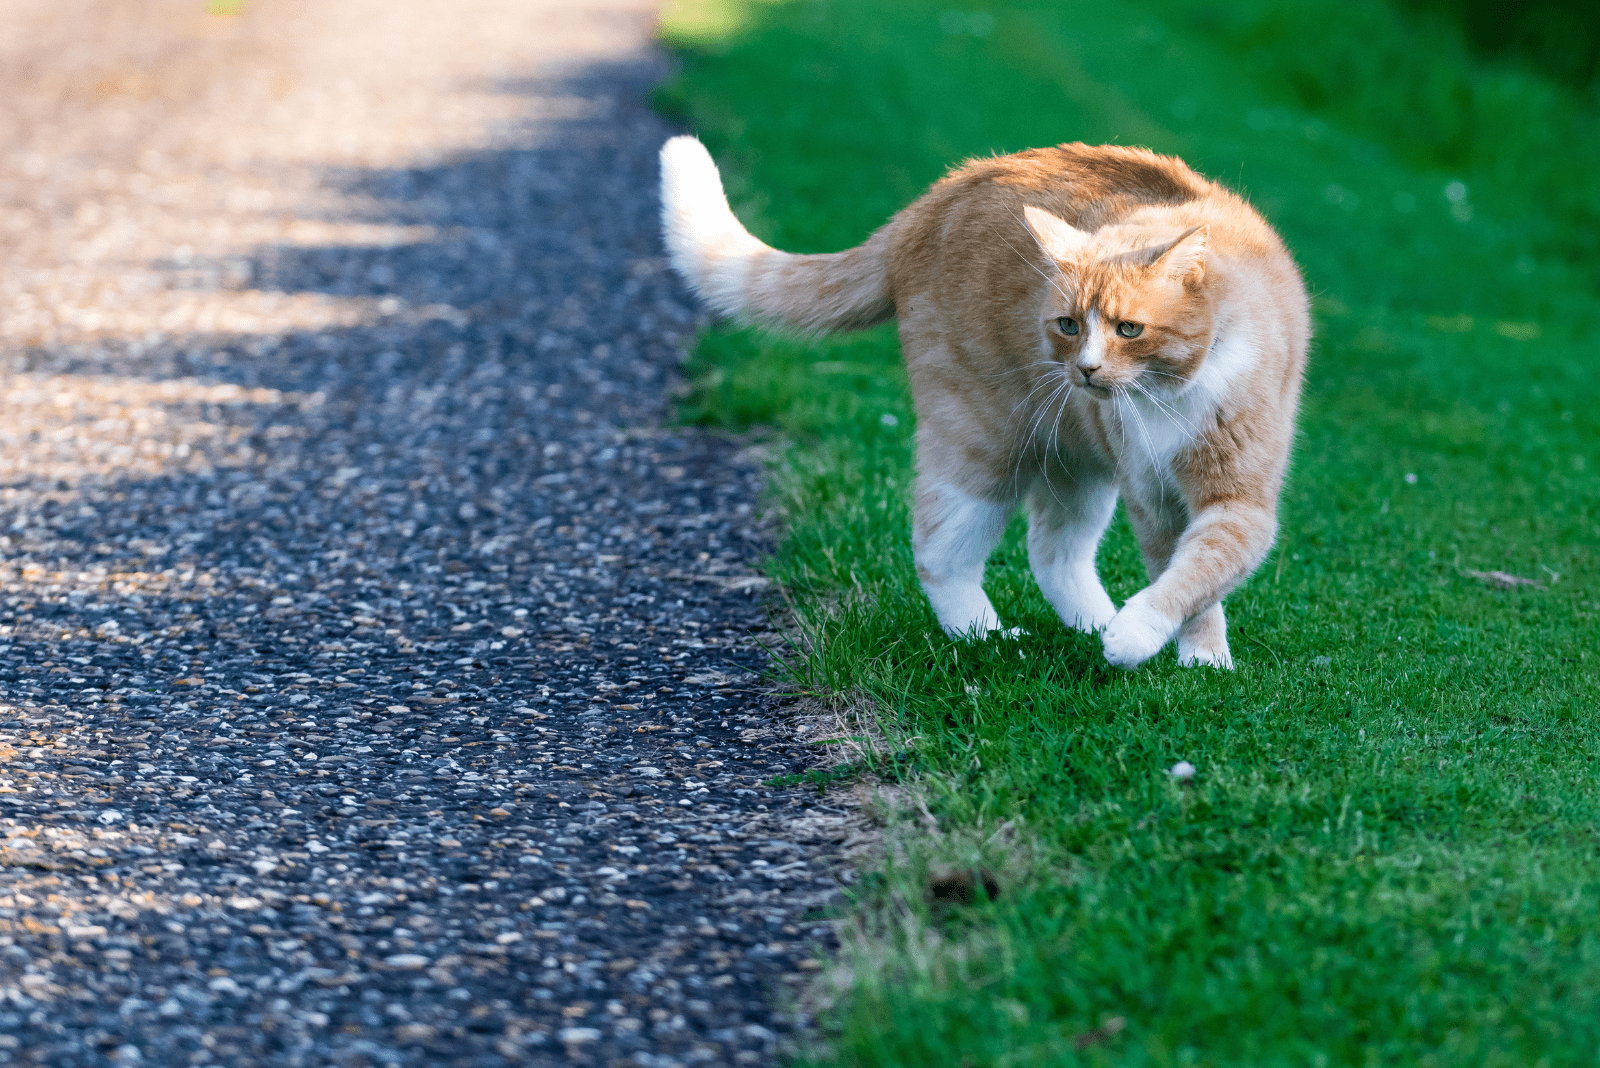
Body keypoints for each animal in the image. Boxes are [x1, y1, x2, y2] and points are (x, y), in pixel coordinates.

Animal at [656, 133, 1305, 668]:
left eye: (1128, 330)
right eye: (1069, 325)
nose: (1086, 370)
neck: (1171, 394)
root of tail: (931, 199)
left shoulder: (1237, 503)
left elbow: (1198, 574)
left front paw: (1183, 655)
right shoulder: (1154, 499)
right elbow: (1187, 576)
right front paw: (1172, 650)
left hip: (1073, 459)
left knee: (1051, 550)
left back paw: (1096, 626)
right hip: (982, 444)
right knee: (939, 552)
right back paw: (985, 639)